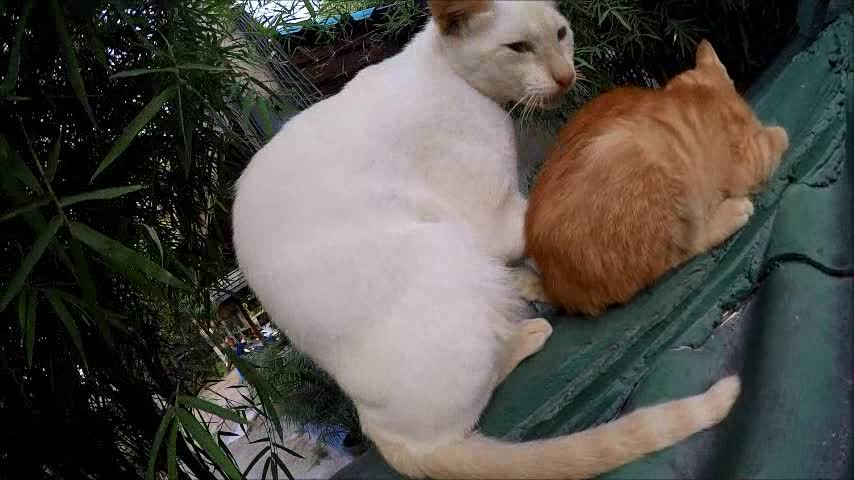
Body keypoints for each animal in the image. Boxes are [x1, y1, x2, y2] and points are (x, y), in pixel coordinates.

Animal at [236, 1, 744, 478]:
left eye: (561, 33)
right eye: (518, 47)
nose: (565, 77)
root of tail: (379, 431)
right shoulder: (496, 216)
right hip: (450, 251)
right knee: (469, 410)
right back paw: (528, 334)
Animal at [524, 41, 792, 316]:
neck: (700, 93)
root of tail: (556, 285)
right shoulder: (748, 161)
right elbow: (777, 137)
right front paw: (776, 133)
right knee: (683, 250)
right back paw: (732, 213)